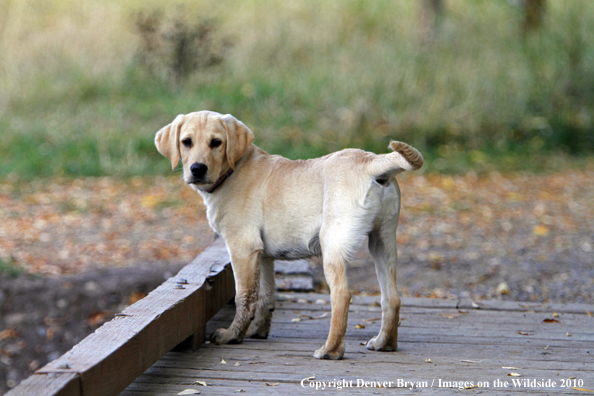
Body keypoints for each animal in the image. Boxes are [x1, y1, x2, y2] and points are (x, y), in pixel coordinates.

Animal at [153, 110, 420, 360]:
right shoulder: (262, 255)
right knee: (392, 297)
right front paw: (257, 331)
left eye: (216, 142)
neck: (233, 171)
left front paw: (232, 336)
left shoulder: (243, 247)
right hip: (383, 240)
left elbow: (244, 297)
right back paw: (384, 343)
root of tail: (370, 161)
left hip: (333, 243)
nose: (197, 169)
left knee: (342, 296)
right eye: (186, 142)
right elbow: (264, 296)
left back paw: (331, 350)